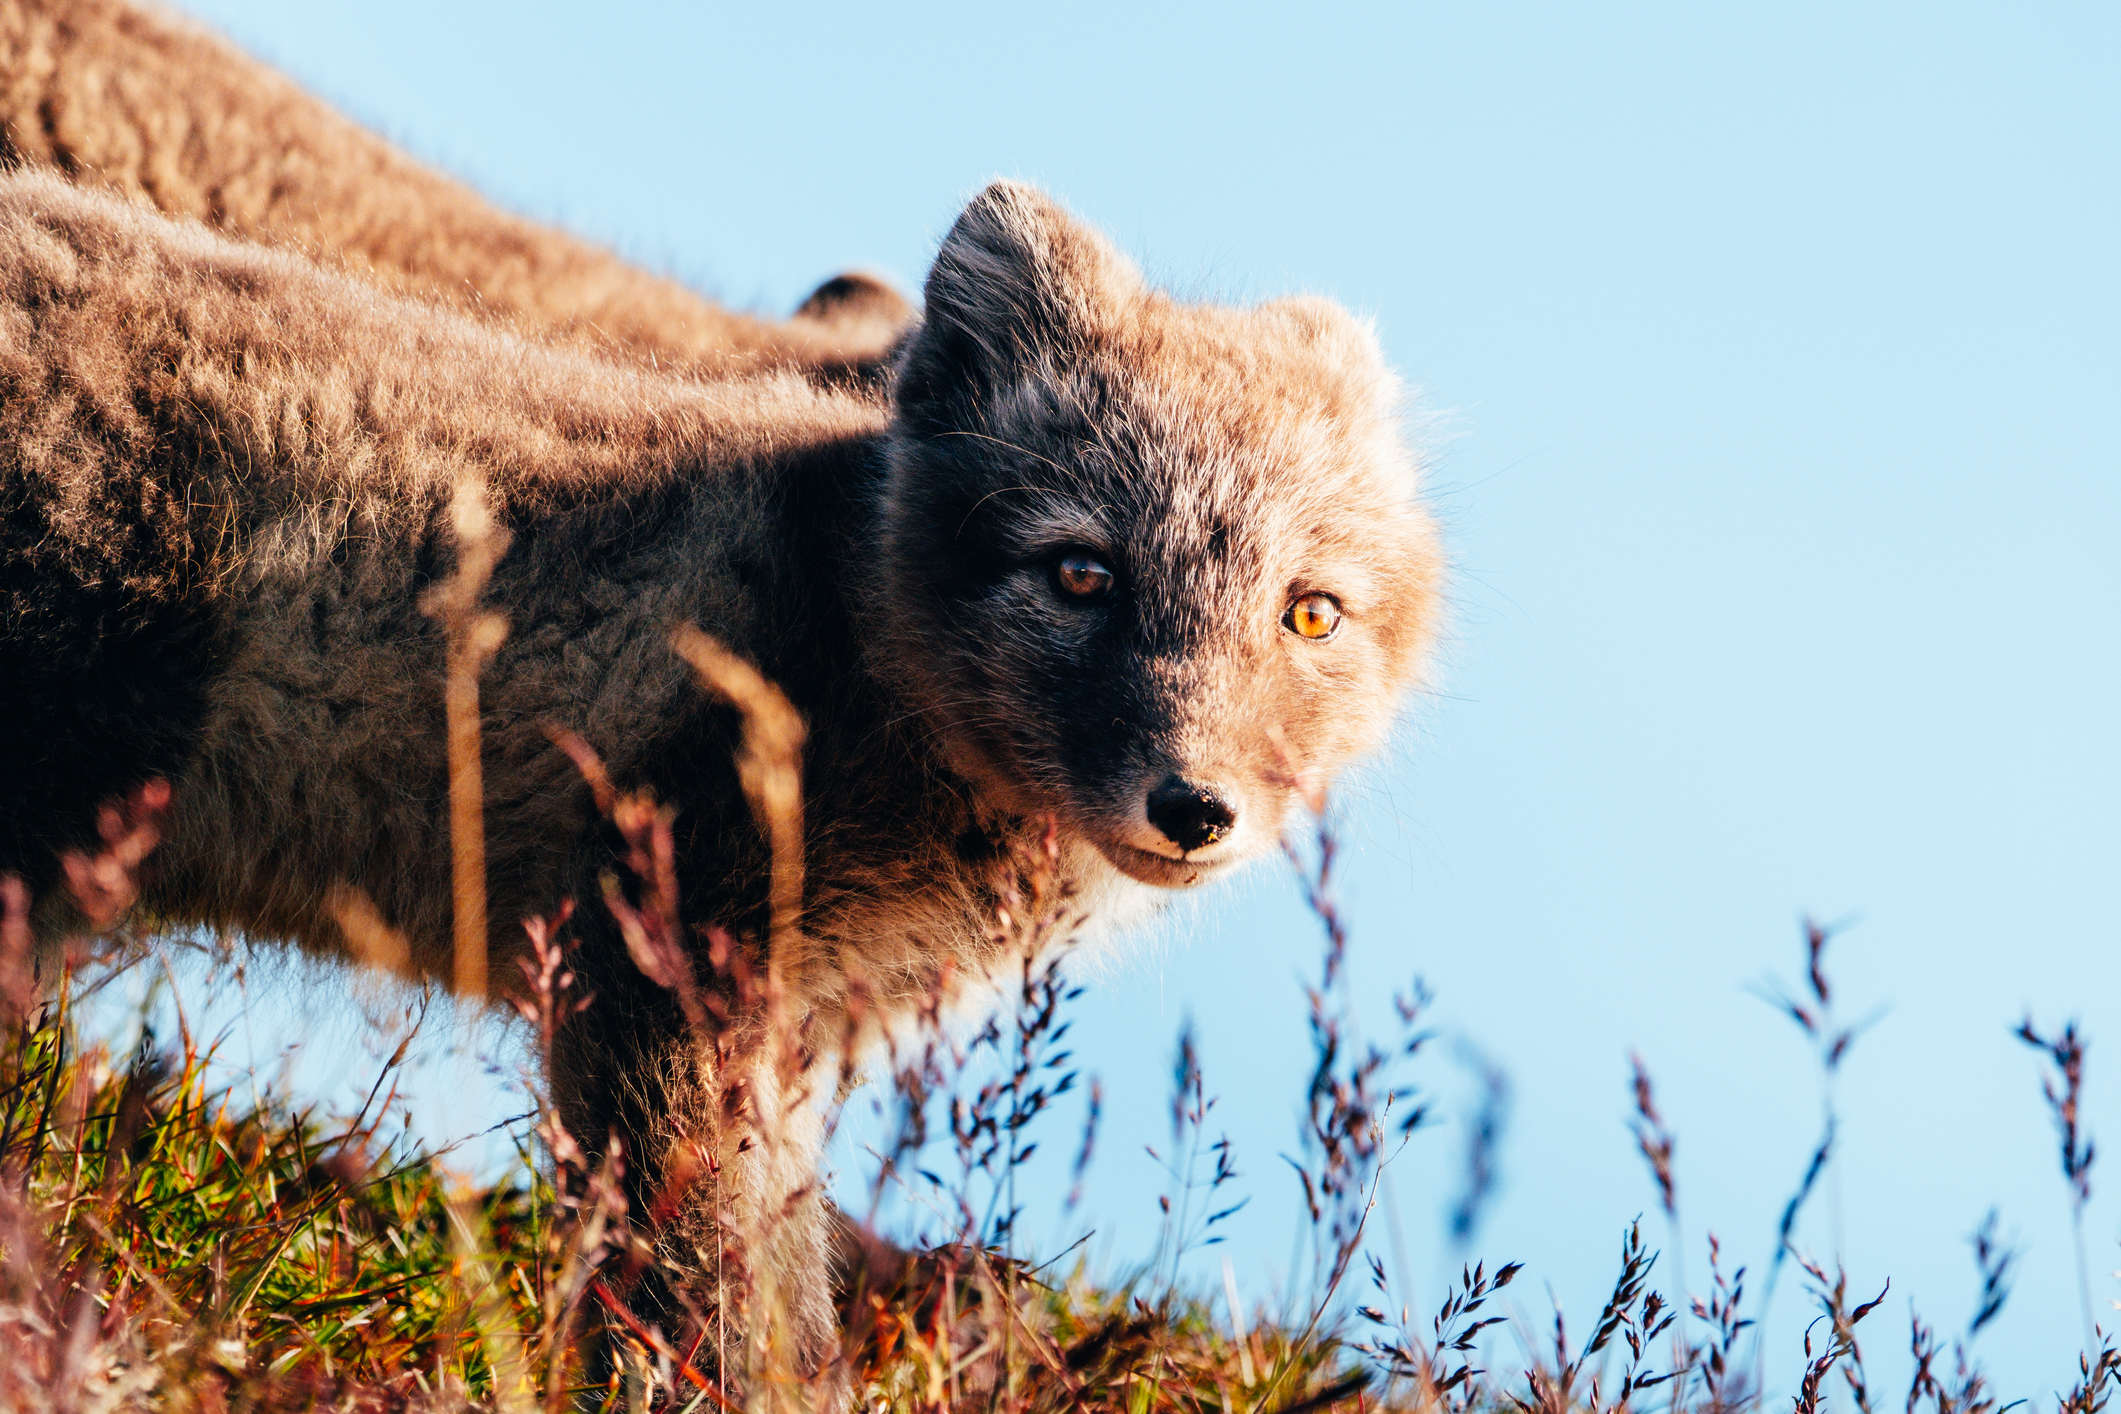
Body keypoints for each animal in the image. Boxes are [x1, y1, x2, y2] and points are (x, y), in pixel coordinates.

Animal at [0, 171, 1442, 1390]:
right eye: (1082, 573)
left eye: (1309, 613)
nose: (1194, 807)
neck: (855, 633)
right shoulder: (664, 970)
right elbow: (700, 1277)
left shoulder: (784, 1044)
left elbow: (781, 1266)